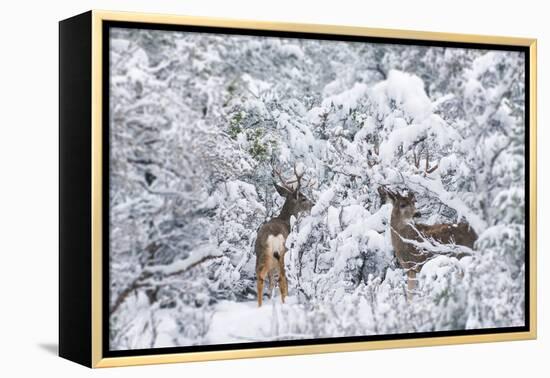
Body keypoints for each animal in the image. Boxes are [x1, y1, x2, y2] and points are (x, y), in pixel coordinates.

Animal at [256, 162, 314, 308]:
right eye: (303, 198)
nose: (313, 204)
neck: (285, 219)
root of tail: (273, 235)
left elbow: (271, 282)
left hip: (262, 254)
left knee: (261, 276)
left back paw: (259, 306)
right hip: (283, 253)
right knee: (282, 278)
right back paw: (285, 302)